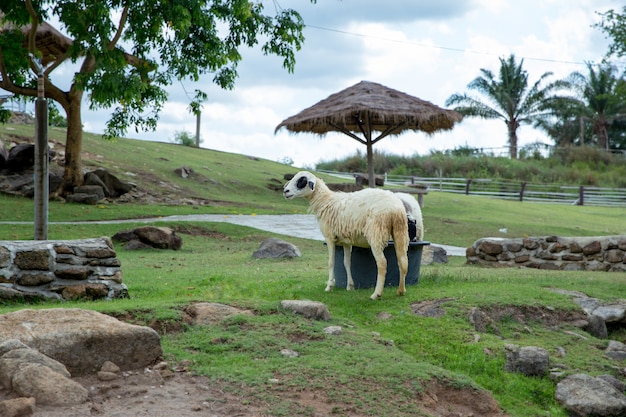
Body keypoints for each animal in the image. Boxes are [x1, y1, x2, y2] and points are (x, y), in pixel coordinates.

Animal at [282, 170, 410, 300]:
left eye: (302, 180)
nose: (285, 191)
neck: (325, 201)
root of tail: (395, 208)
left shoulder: (329, 238)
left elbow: (331, 262)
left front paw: (329, 287)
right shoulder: (346, 242)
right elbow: (346, 263)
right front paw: (350, 286)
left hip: (376, 233)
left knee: (382, 264)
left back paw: (376, 294)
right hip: (400, 231)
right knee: (403, 261)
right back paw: (401, 291)